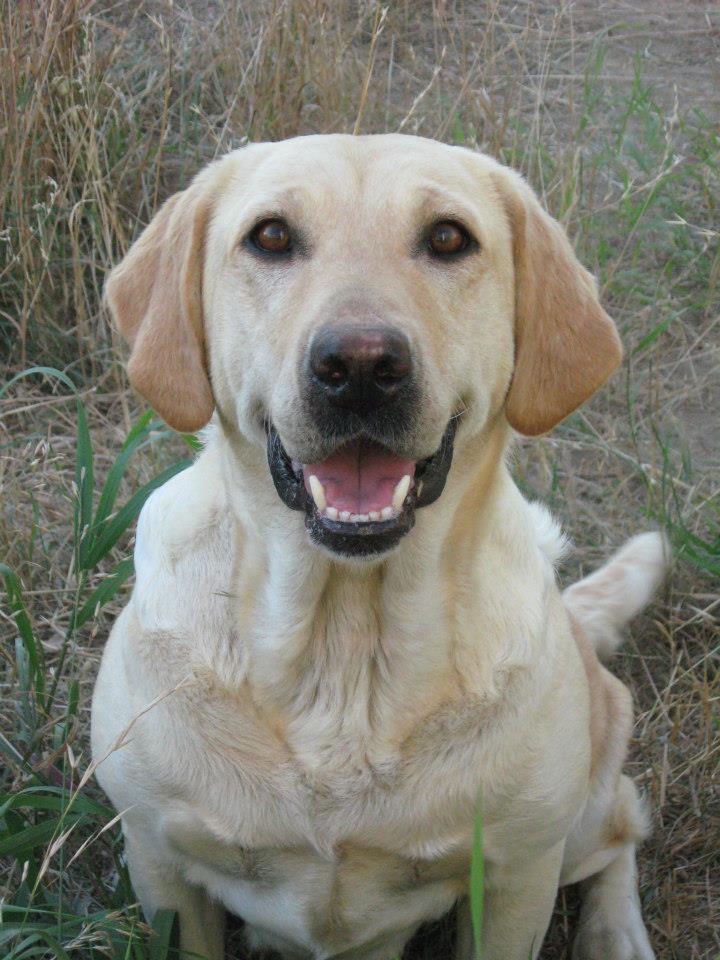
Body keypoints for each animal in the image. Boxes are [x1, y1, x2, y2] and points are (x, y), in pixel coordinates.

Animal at [93, 135, 668, 960]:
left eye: (449, 238)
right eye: (271, 236)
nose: (361, 365)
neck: (343, 649)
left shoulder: (517, 876)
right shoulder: (159, 862)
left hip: (581, 809)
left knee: (622, 822)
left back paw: (615, 933)